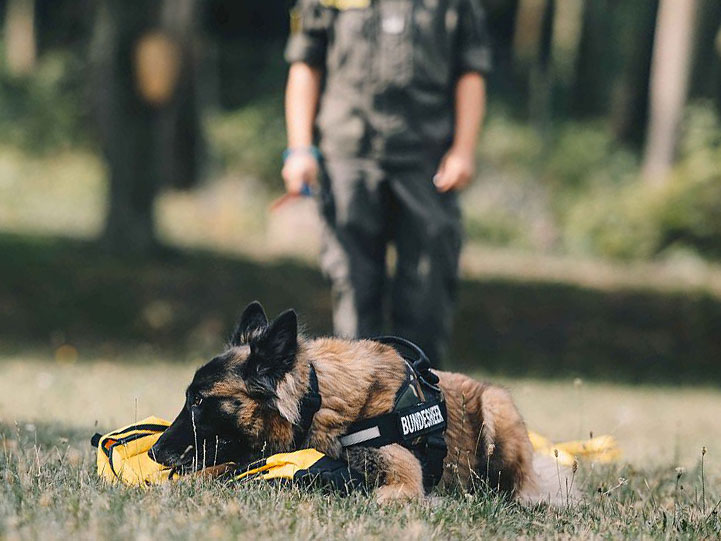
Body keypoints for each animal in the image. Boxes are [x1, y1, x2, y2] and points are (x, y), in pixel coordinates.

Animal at [150, 300, 544, 502]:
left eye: (200, 400)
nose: (154, 452)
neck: (317, 404)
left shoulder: (404, 479)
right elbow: (214, 470)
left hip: (496, 408)